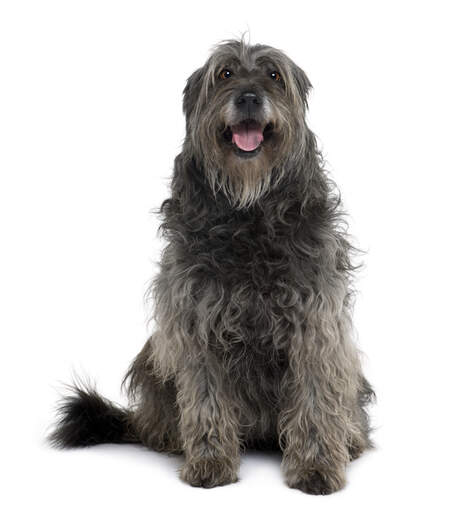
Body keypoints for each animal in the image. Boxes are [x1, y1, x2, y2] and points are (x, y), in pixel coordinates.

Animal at [50, 40, 372, 496]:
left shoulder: (315, 324)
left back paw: (349, 438)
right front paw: (210, 461)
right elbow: (206, 398)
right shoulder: (195, 323)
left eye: (274, 75)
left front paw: (315, 466)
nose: (249, 97)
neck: (249, 209)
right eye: (225, 74)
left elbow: (314, 396)